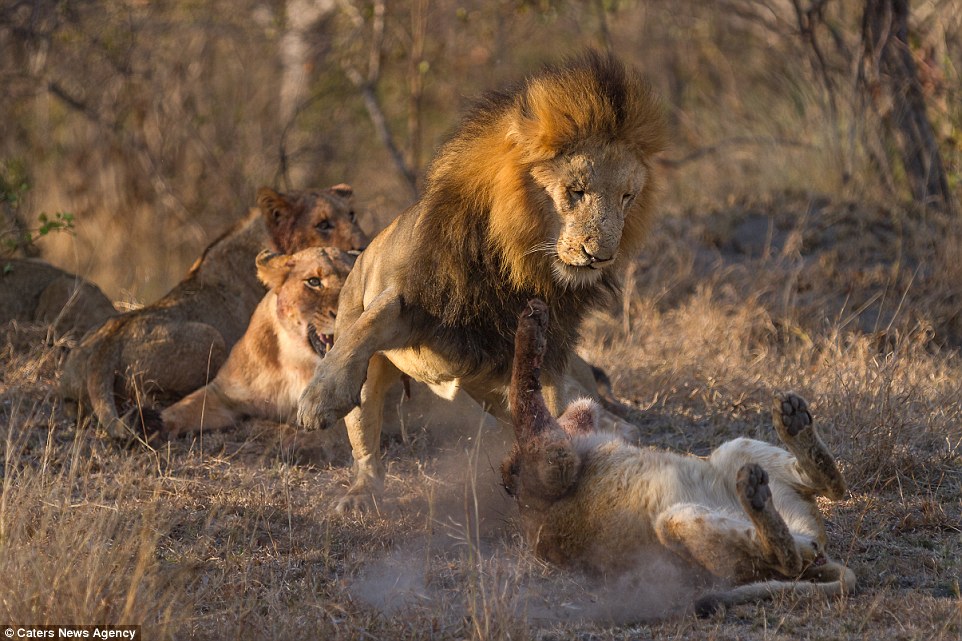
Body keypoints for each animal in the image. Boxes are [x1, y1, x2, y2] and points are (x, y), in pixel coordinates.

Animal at [296, 51, 664, 510]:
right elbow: (363, 331)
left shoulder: (553, 345)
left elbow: (557, 402)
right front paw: (318, 399)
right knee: (367, 445)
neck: (519, 263)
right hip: (385, 389)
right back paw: (361, 493)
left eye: (626, 198)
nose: (600, 256)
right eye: (576, 191)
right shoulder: (414, 296)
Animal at [502, 300, 856, 616]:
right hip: (676, 522)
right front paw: (530, 329)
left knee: (832, 488)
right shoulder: (553, 463)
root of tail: (819, 553)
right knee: (784, 559)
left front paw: (534, 321)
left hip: (736, 450)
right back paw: (758, 497)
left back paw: (793, 423)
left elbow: (537, 406)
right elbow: (523, 402)